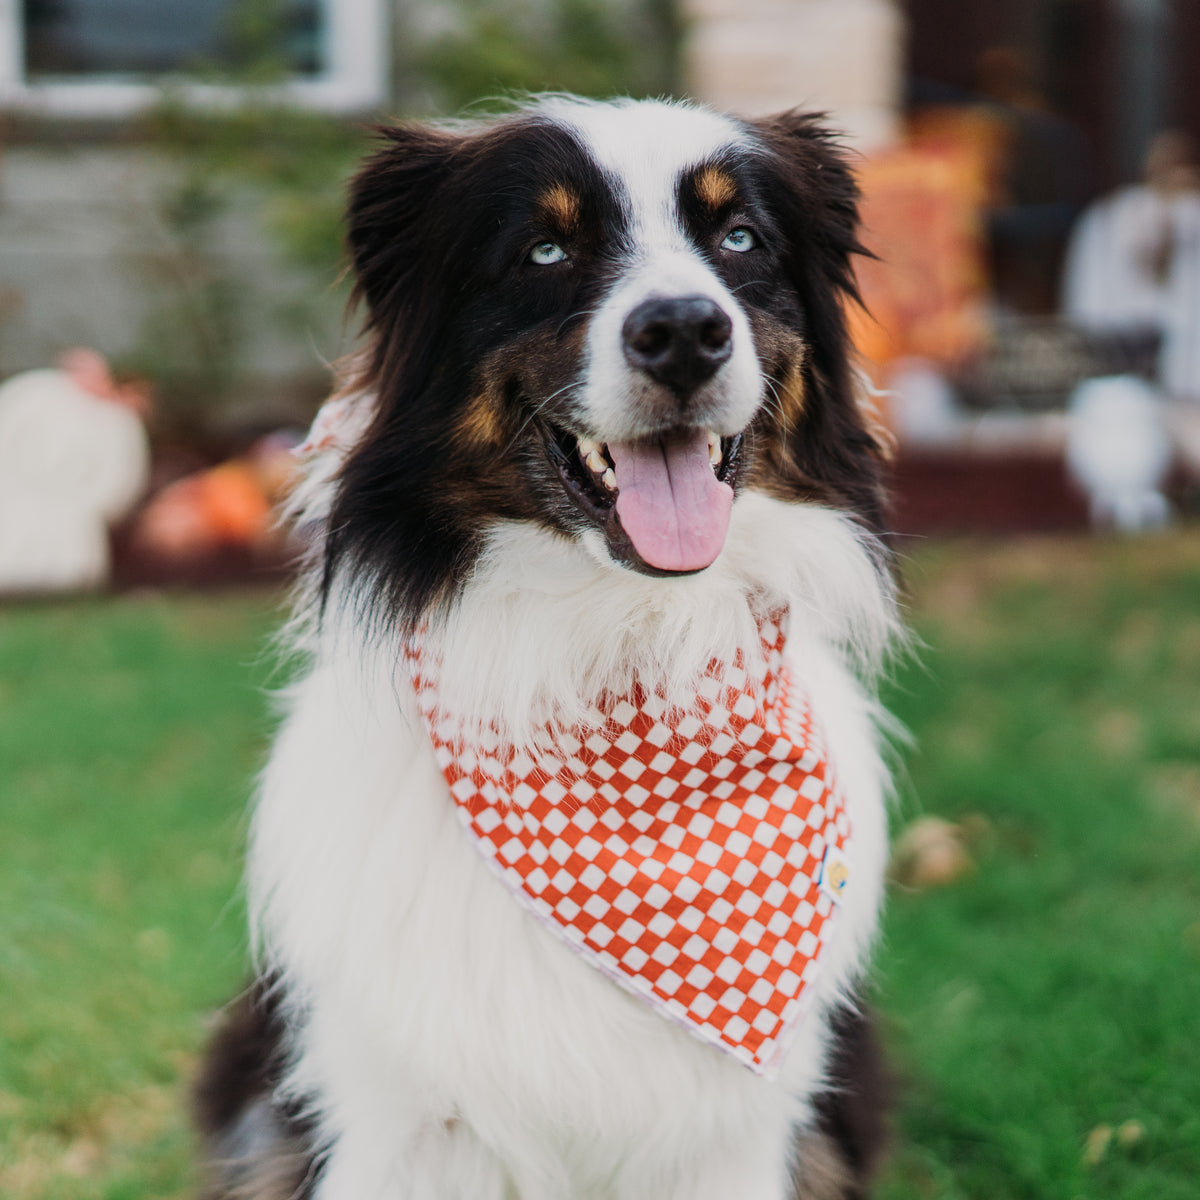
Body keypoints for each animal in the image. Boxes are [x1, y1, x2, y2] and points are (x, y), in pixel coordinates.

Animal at [194, 96, 902, 1200]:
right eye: (545, 249)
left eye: (742, 238)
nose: (685, 332)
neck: (613, 649)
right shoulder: (396, 1125)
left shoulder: (738, 1139)